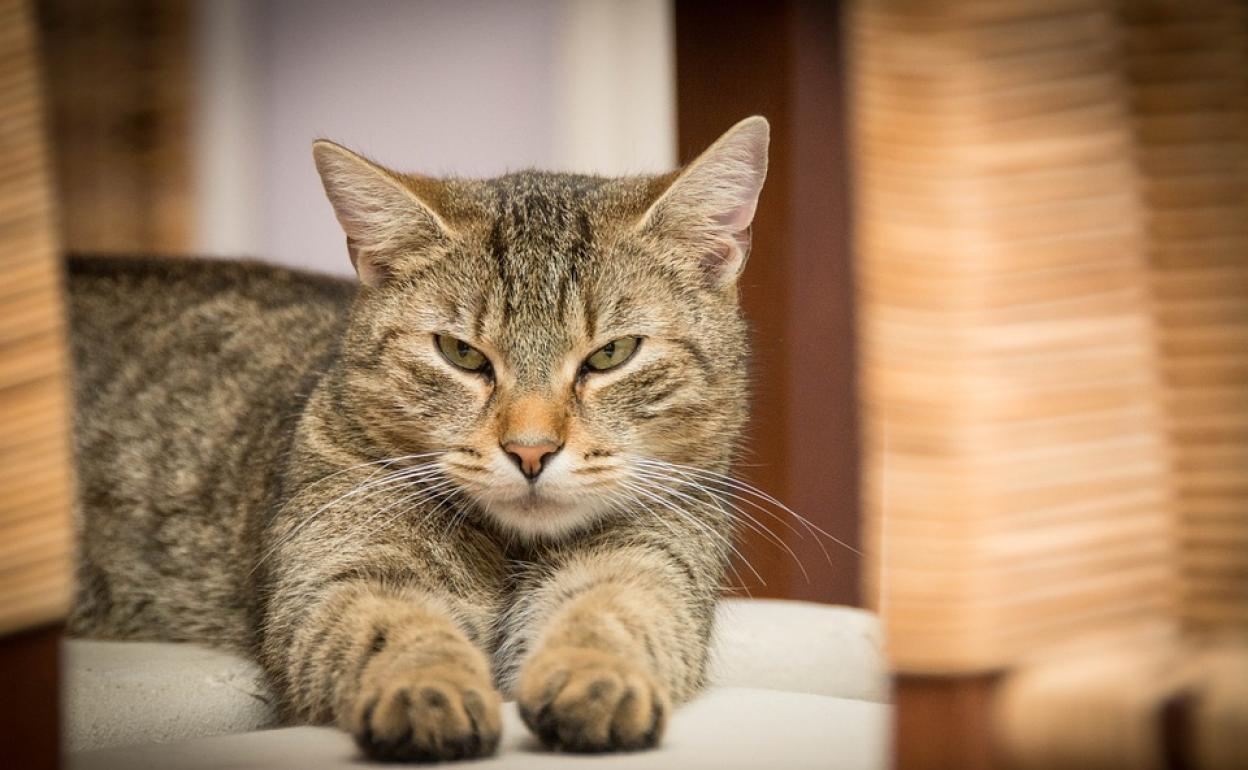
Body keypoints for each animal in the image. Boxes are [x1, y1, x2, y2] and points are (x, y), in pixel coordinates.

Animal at [68, 117, 768, 758]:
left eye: (611, 355)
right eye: (461, 354)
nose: (531, 450)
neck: (510, 549)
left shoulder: (655, 560)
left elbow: (612, 612)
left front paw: (598, 678)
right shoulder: (342, 571)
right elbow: (397, 627)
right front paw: (427, 689)